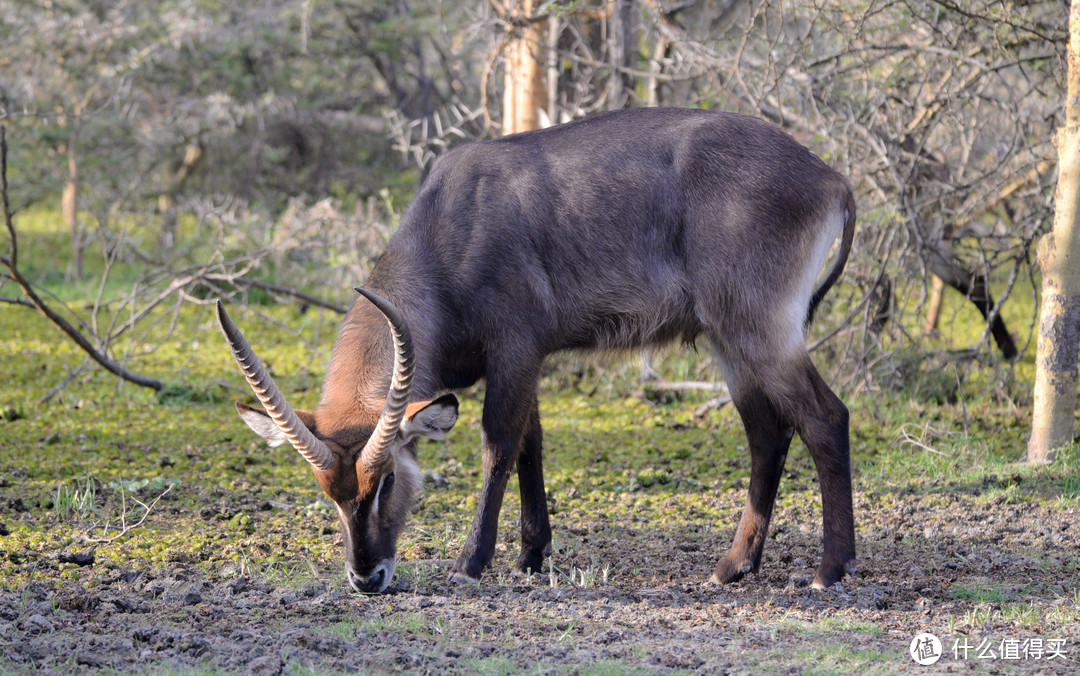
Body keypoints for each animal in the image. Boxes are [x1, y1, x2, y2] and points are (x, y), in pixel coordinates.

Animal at [219, 105, 855, 587]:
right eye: (329, 492)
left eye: (388, 481)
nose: (365, 577)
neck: (445, 234)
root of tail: (831, 178)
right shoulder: (525, 361)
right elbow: (532, 445)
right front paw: (530, 554)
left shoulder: (516, 348)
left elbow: (499, 444)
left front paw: (472, 561)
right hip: (728, 339)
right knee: (768, 436)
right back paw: (733, 567)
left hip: (761, 332)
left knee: (825, 418)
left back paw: (830, 569)